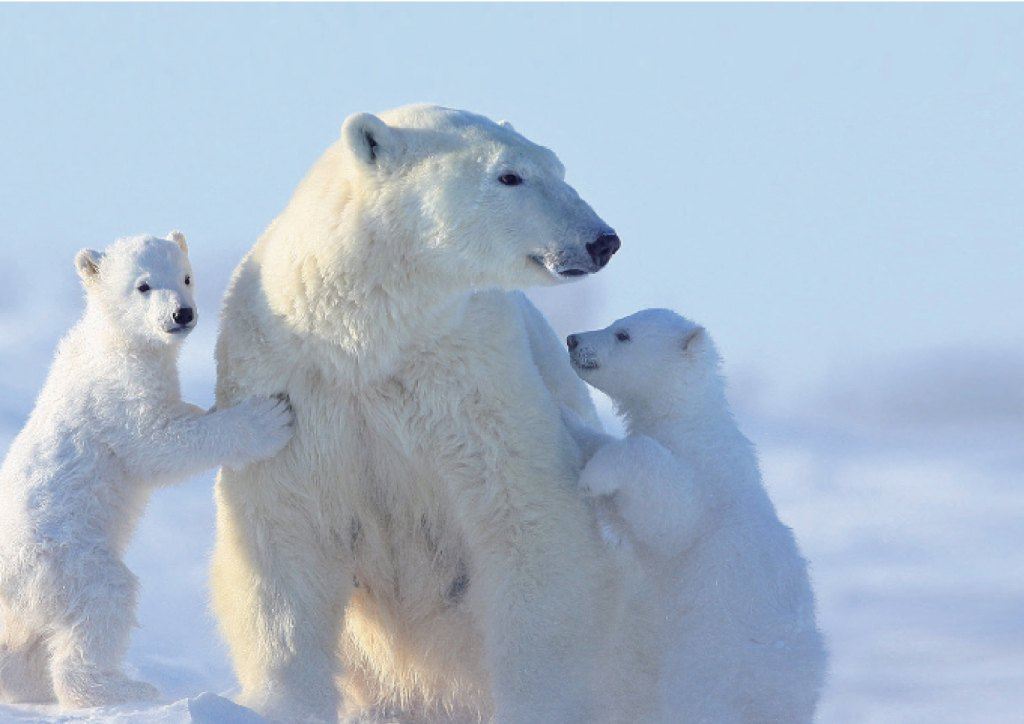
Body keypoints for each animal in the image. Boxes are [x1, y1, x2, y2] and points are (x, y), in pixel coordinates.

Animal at [1, 233, 296, 708]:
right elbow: (158, 443)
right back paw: (124, 688)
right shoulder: (117, 393)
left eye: (186, 276)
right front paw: (268, 417)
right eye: (143, 285)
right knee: (103, 600)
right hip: (64, 562)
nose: (183, 313)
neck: (112, 340)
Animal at [214, 104, 630, 720]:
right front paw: (284, 702)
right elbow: (284, 541)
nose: (602, 240)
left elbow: (526, 523)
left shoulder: (471, 381)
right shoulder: (292, 387)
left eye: (557, 166)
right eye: (509, 175)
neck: (366, 340)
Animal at [565, 309, 827, 720]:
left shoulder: (703, 482)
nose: (573, 339)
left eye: (623, 334)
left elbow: (669, 511)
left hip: (714, 665)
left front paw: (593, 478)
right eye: (616, 322)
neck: (691, 422)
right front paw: (572, 422)